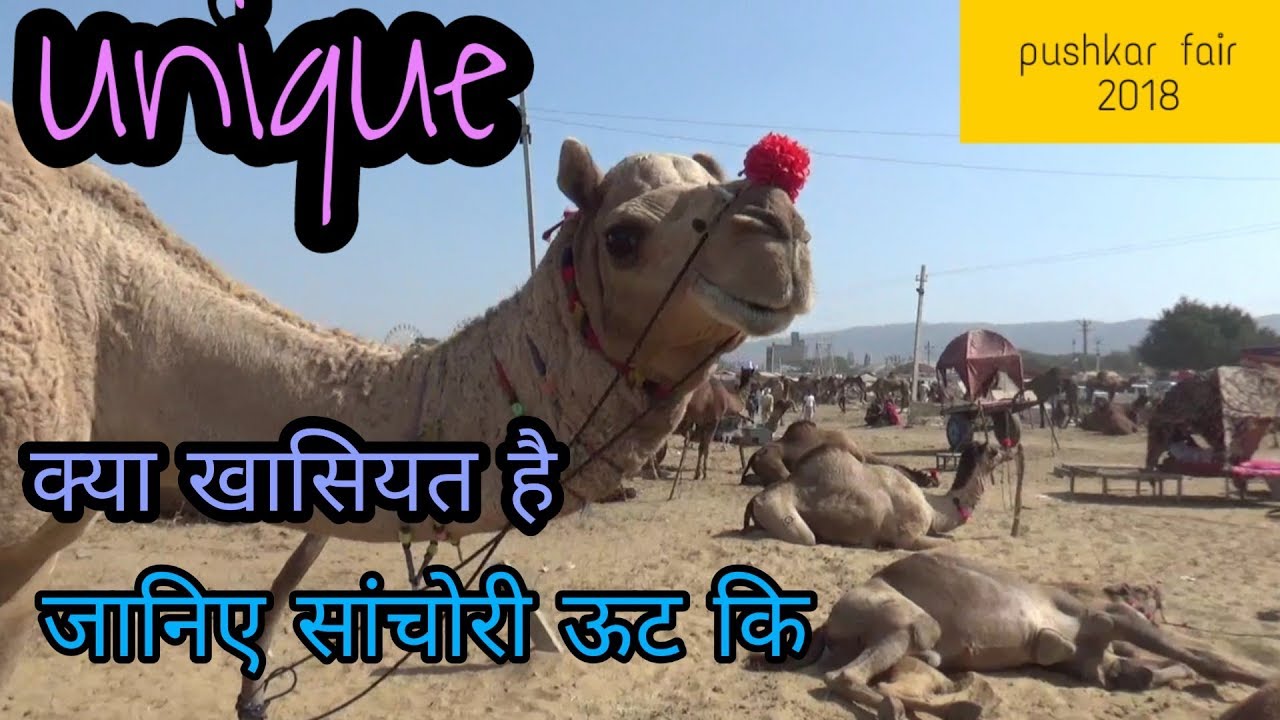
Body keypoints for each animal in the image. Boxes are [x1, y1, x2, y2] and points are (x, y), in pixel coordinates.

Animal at [742, 440, 1006, 549]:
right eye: (994, 451)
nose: (1010, 448)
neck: (934, 508)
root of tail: (755, 499)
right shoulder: (908, 538)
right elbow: (947, 544)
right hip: (781, 513)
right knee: (806, 537)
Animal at [750, 550, 1268, 719]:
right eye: (1150, 597)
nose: (1158, 605)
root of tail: (825, 623)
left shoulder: (1091, 659)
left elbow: (1143, 669)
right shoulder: (1110, 617)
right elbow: (1200, 654)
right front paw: (1263, 681)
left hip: (912, 645)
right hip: (907, 620)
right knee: (842, 676)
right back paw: (903, 707)